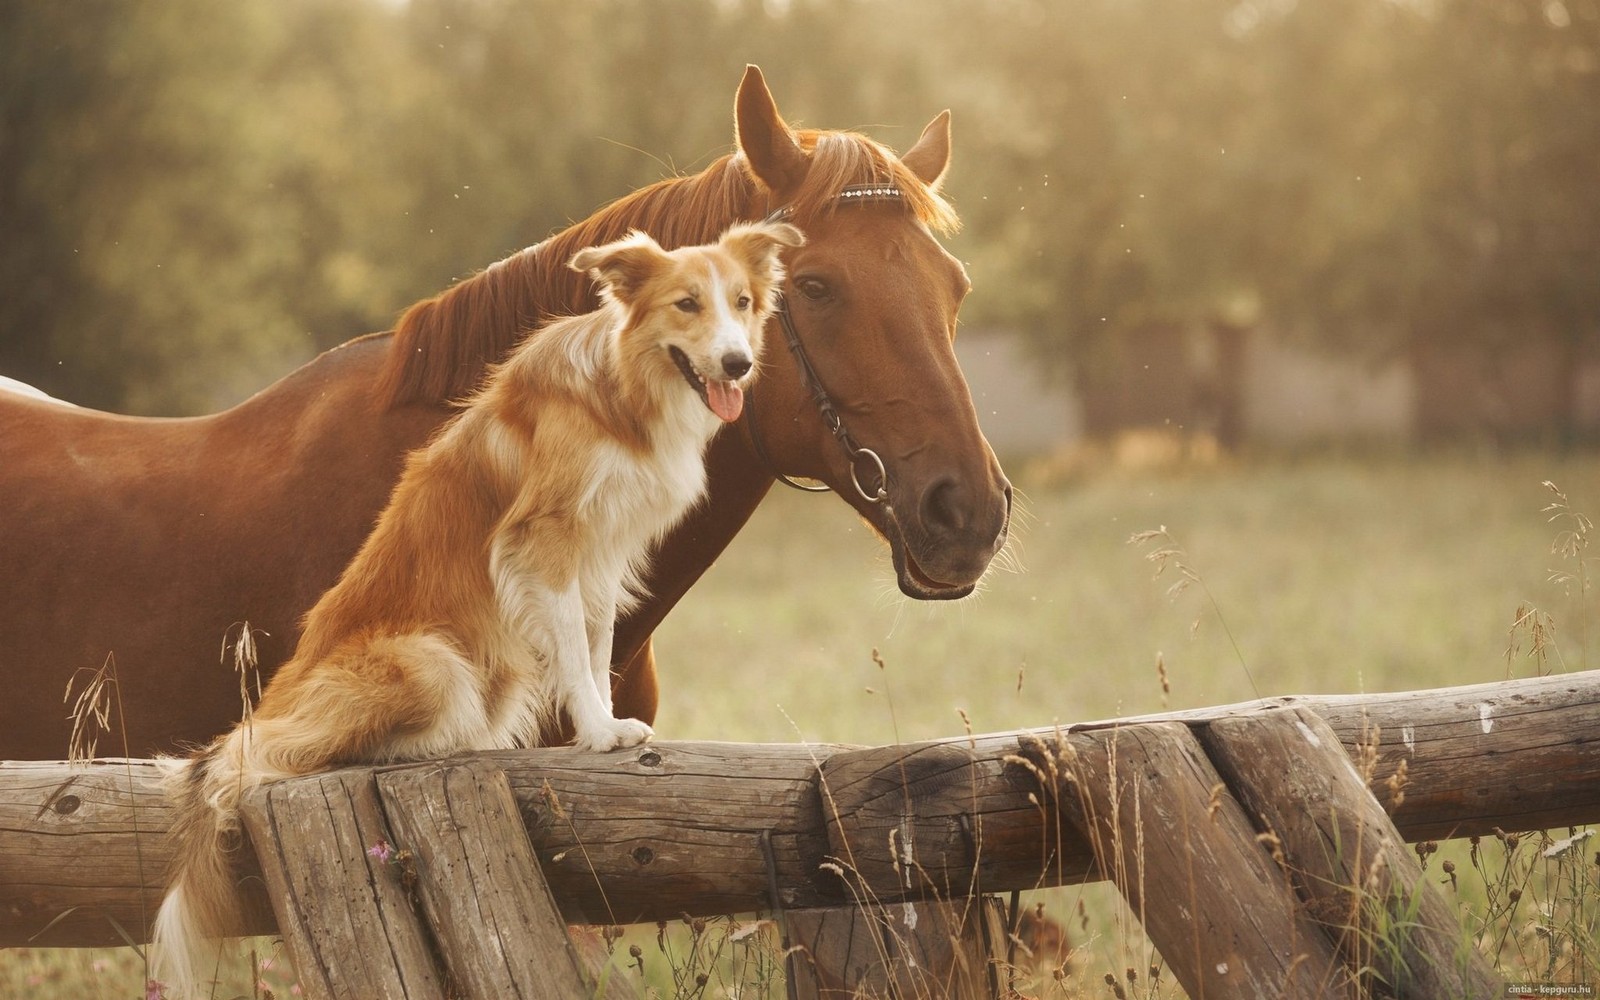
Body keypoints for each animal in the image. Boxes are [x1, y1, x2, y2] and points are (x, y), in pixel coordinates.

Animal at [150, 220, 800, 998]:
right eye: (686, 304)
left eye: (742, 301)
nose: (738, 364)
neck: (621, 389)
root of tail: (276, 698)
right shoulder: (544, 542)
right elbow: (576, 653)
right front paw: (597, 734)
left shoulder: (602, 556)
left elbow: (597, 644)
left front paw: (607, 725)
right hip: (432, 663)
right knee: (272, 754)